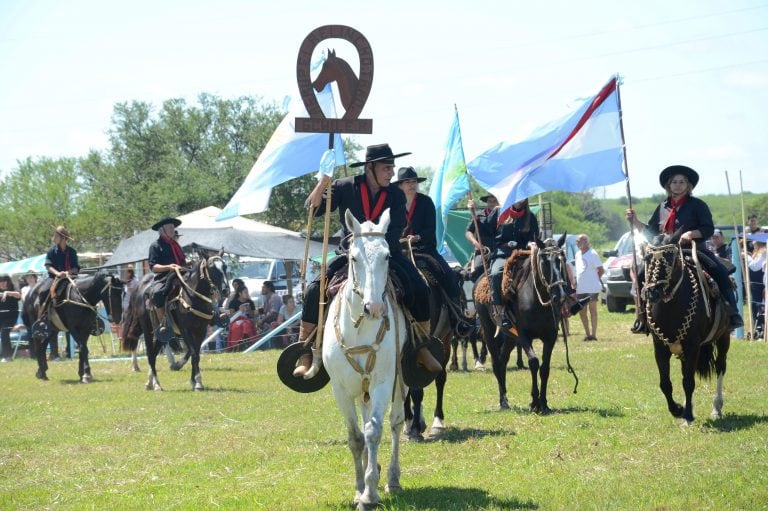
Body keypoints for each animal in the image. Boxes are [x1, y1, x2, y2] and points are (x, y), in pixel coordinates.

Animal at [121, 253, 228, 392]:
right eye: (212, 268)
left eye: (225, 267)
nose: (226, 290)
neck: (192, 297)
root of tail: (140, 288)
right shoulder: (185, 330)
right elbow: (194, 353)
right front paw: (198, 382)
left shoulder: (200, 330)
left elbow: (194, 353)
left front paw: (193, 380)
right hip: (148, 331)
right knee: (150, 354)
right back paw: (157, 384)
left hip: (161, 333)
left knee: (154, 354)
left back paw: (150, 382)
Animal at [322, 210, 408, 510]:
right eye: (354, 258)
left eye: (387, 256)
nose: (375, 308)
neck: (359, 327)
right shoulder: (341, 389)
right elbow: (356, 437)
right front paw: (359, 489)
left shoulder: (383, 383)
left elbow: (373, 432)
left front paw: (370, 494)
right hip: (361, 388)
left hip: (397, 382)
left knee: (395, 422)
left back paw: (392, 478)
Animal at [474, 235, 568, 412]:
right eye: (544, 261)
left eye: (562, 260)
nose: (559, 296)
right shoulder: (524, 336)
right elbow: (534, 362)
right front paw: (534, 402)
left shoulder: (550, 337)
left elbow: (545, 368)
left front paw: (544, 403)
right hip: (489, 331)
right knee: (496, 363)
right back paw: (503, 401)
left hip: (510, 337)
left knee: (503, 360)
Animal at [644, 232, 728, 424]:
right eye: (647, 258)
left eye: (670, 258)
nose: (653, 292)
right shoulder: (660, 348)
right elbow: (665, 383)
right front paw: (677, 409)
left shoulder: (692, 347)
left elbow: (689, 382)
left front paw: (688, 415)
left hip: (723, 337)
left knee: (720, 366)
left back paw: (716, 407)